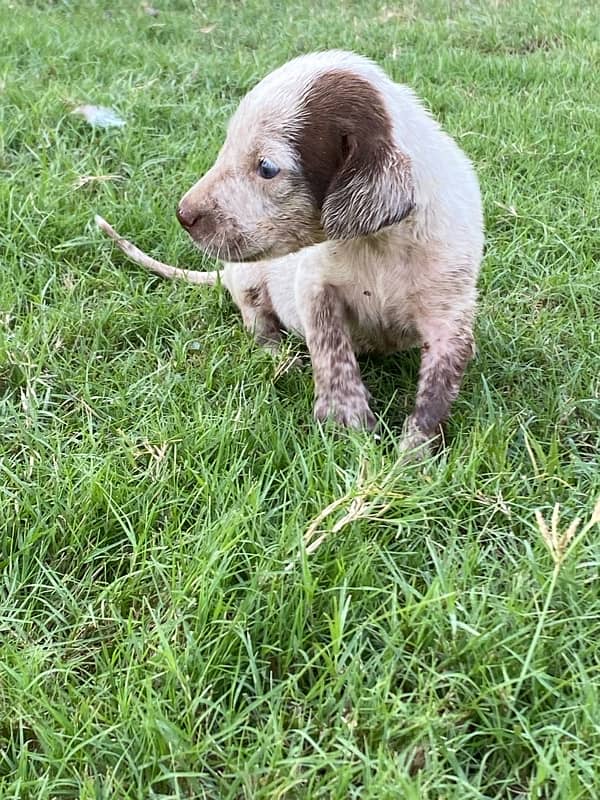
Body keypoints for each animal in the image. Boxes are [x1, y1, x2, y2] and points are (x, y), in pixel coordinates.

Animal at [97, 50, 482, 454]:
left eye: (266, 168)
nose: (182, 215)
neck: (378, 244)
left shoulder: (450, 316)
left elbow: (437, 391)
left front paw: (414, 453)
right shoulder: (315, 285)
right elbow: (331, 348)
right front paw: (346, 420)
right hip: (248, 279)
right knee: (259, 324)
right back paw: (281, 356)